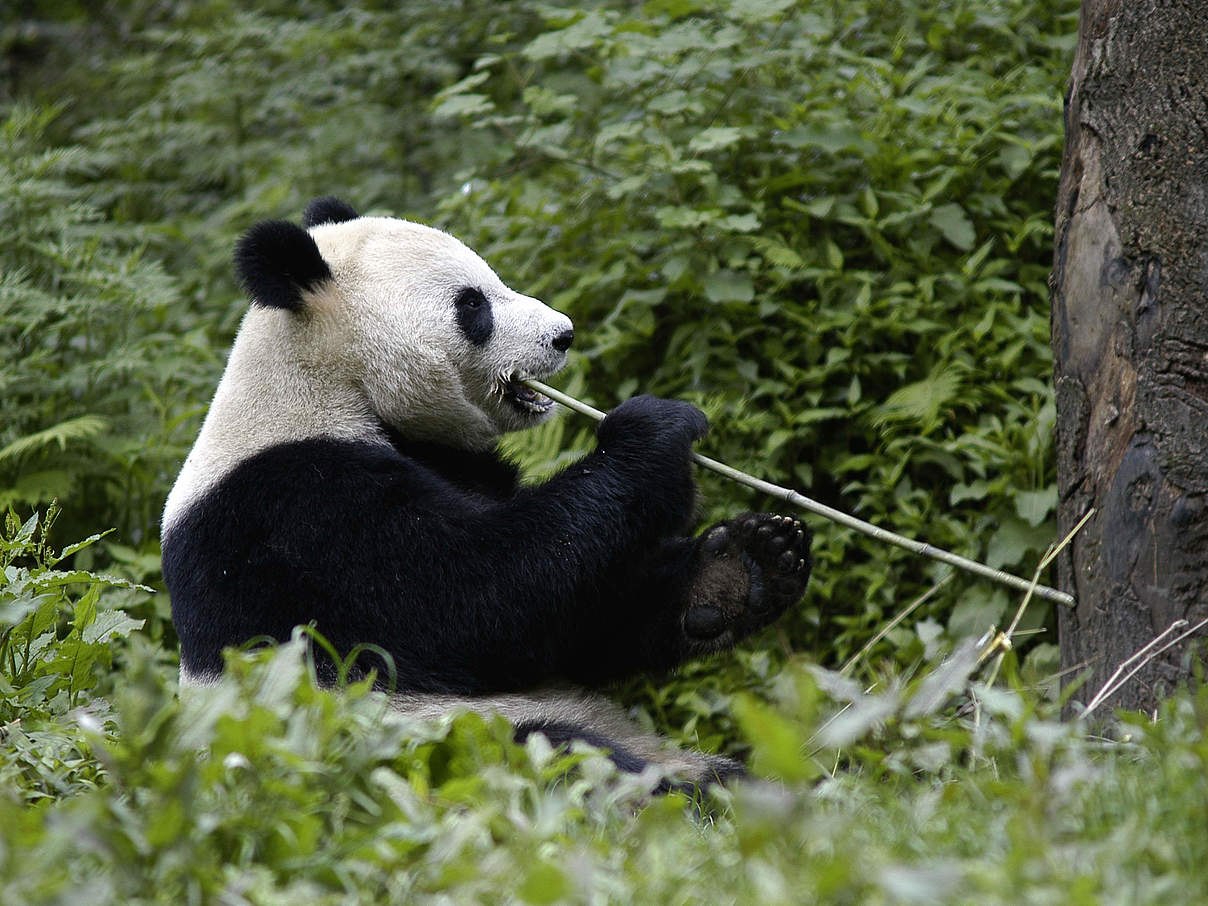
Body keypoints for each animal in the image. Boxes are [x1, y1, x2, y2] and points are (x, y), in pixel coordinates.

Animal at [158, 196, 802, 787]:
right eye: (473, 304)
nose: (563, 335)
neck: (328, 384)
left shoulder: (460, 464)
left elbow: (578, 621)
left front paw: (747, 563)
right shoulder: (293, 511)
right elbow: (473, 599)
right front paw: (655, 431)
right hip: (424, 739)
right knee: (557, 755)